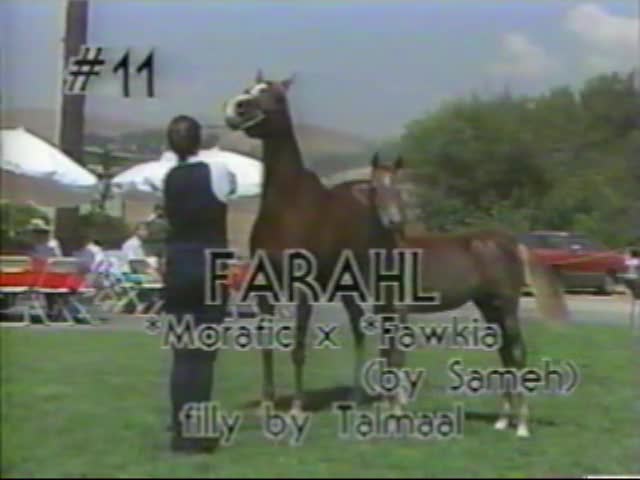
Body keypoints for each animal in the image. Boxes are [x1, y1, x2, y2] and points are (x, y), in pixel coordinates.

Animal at [222, 72, 398, 412]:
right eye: (249, 88)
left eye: (277, 96)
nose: (236, 108)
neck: (287, 206)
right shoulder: (264, 287)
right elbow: (266, 347)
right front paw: (267, 403)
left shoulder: (304, 289)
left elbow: (298, 347)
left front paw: (297, 406)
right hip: (347, 287)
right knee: (359, 325)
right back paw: (355, 397)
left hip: (379, 281)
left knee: (388, 326)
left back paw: (388, 398)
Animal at [356, 152, 568, 436]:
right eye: (374, 187)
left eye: (398, 187)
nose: (393, 220)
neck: (392, 252)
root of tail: (513, 243)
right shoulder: (384, 311)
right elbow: (384, 356)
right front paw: (387, 412)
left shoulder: (400, 311)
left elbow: (397, 358)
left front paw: (398, 415)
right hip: (489, 307)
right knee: (504, 352)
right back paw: (503, 420)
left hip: (507, 305)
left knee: (517, 351)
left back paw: (522, 425)